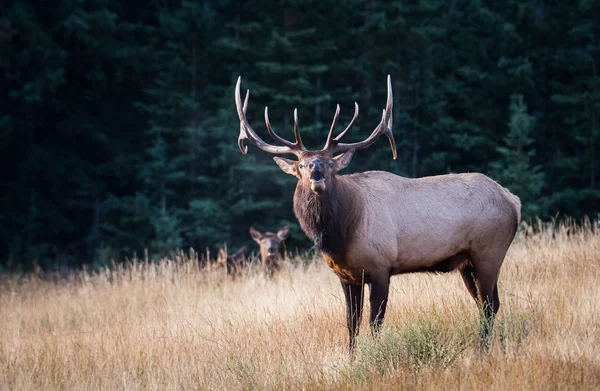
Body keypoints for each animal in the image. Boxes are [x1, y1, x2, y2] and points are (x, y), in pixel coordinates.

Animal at [233, 75, 520, 354]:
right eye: (301, 165)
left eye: (330, 164)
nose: (317, 173)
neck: (341, 234)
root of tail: (513, 200)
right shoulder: (347, 276)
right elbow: (352, 323)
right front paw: (351, 358)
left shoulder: (381, 267)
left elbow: (375, 323)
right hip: (466, 262)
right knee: (485, 304)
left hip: (489, 252)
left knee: (491, 304)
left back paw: (483, 350)